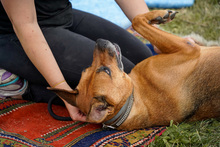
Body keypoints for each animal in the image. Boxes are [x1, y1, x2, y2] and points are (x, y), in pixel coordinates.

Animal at [49, 10, 220, 130]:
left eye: (87, 68)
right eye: (106, 71)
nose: (99, 41)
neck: (131, 101)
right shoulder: (188, 48)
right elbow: (137, 20)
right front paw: (159, 15)